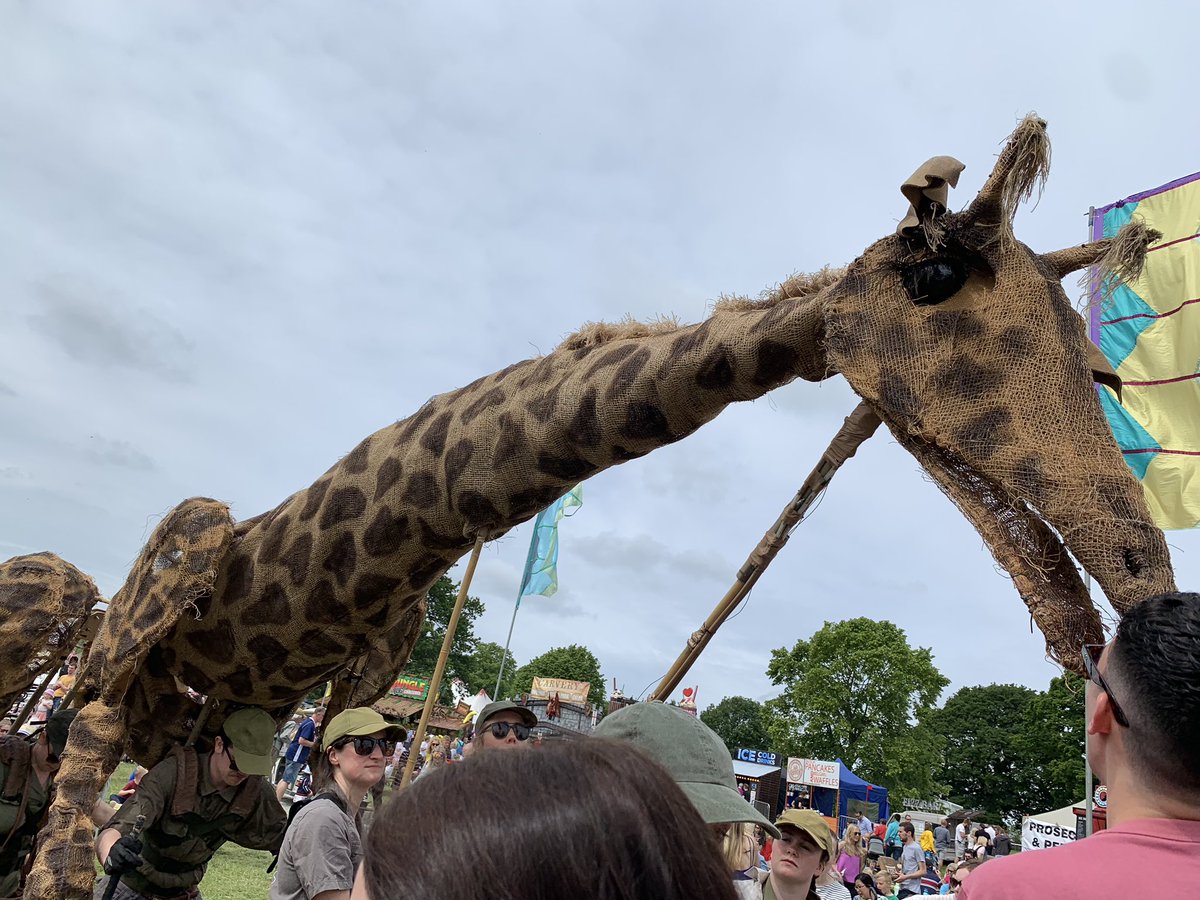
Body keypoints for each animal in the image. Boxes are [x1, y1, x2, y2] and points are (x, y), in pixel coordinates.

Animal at [16, 116, 1177, 898]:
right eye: (932, 277)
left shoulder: (357, 698)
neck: (354, 567)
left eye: (1100, 373)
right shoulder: (131, 691)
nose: (1143, 571)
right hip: (83, 651)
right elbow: (74, 848)